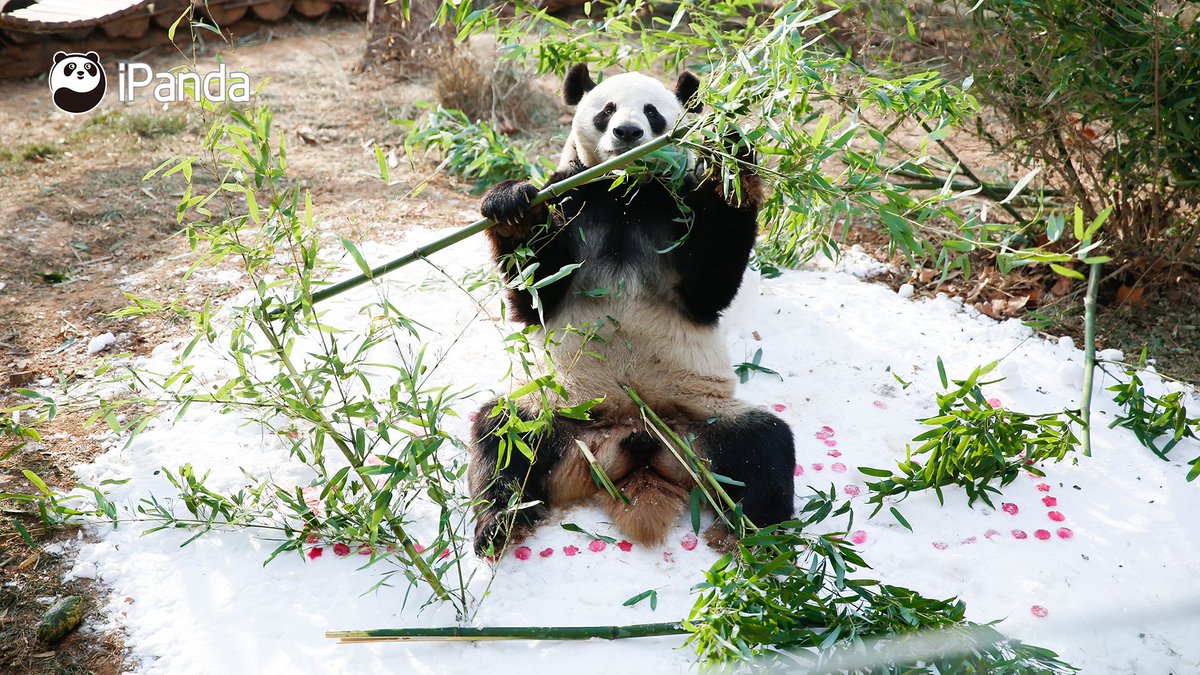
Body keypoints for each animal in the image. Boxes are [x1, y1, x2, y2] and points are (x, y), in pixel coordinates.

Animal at [468, 64, 795, 555]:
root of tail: (632, 443)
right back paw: (500, 522)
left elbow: (710, 285)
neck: (625, 193)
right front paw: (513, 208)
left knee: (763, 447)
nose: (627, 132)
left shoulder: (675, 208)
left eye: (652, 112)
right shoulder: (573, 198)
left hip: (703, 422)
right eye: (606, 110)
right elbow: (534, 295)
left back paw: (754, 535)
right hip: (556, 412)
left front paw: (731, 163)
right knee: (503, 438)